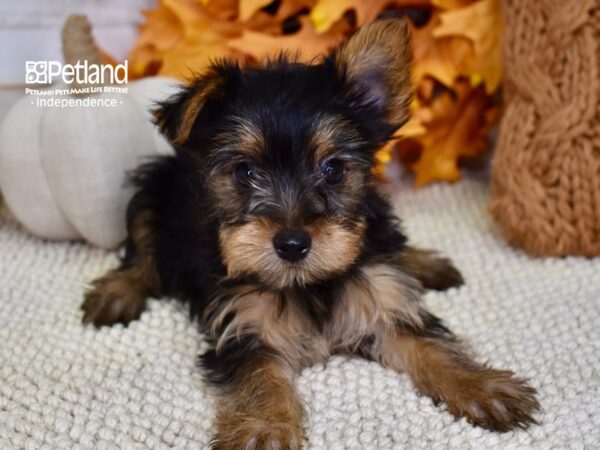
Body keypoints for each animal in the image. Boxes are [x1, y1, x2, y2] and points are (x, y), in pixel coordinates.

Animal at [83, 19, 540, 448]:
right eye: (245, 172)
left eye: (333, 169)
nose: (292, 244)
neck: (308, 283)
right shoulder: (244, 324)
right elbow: (260, 377)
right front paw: (264, 427)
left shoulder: (384, 304)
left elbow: (431, 344)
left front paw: (481, 387)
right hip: (150, 192)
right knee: (142, 252)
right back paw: (116, 292)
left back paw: (424, 263)